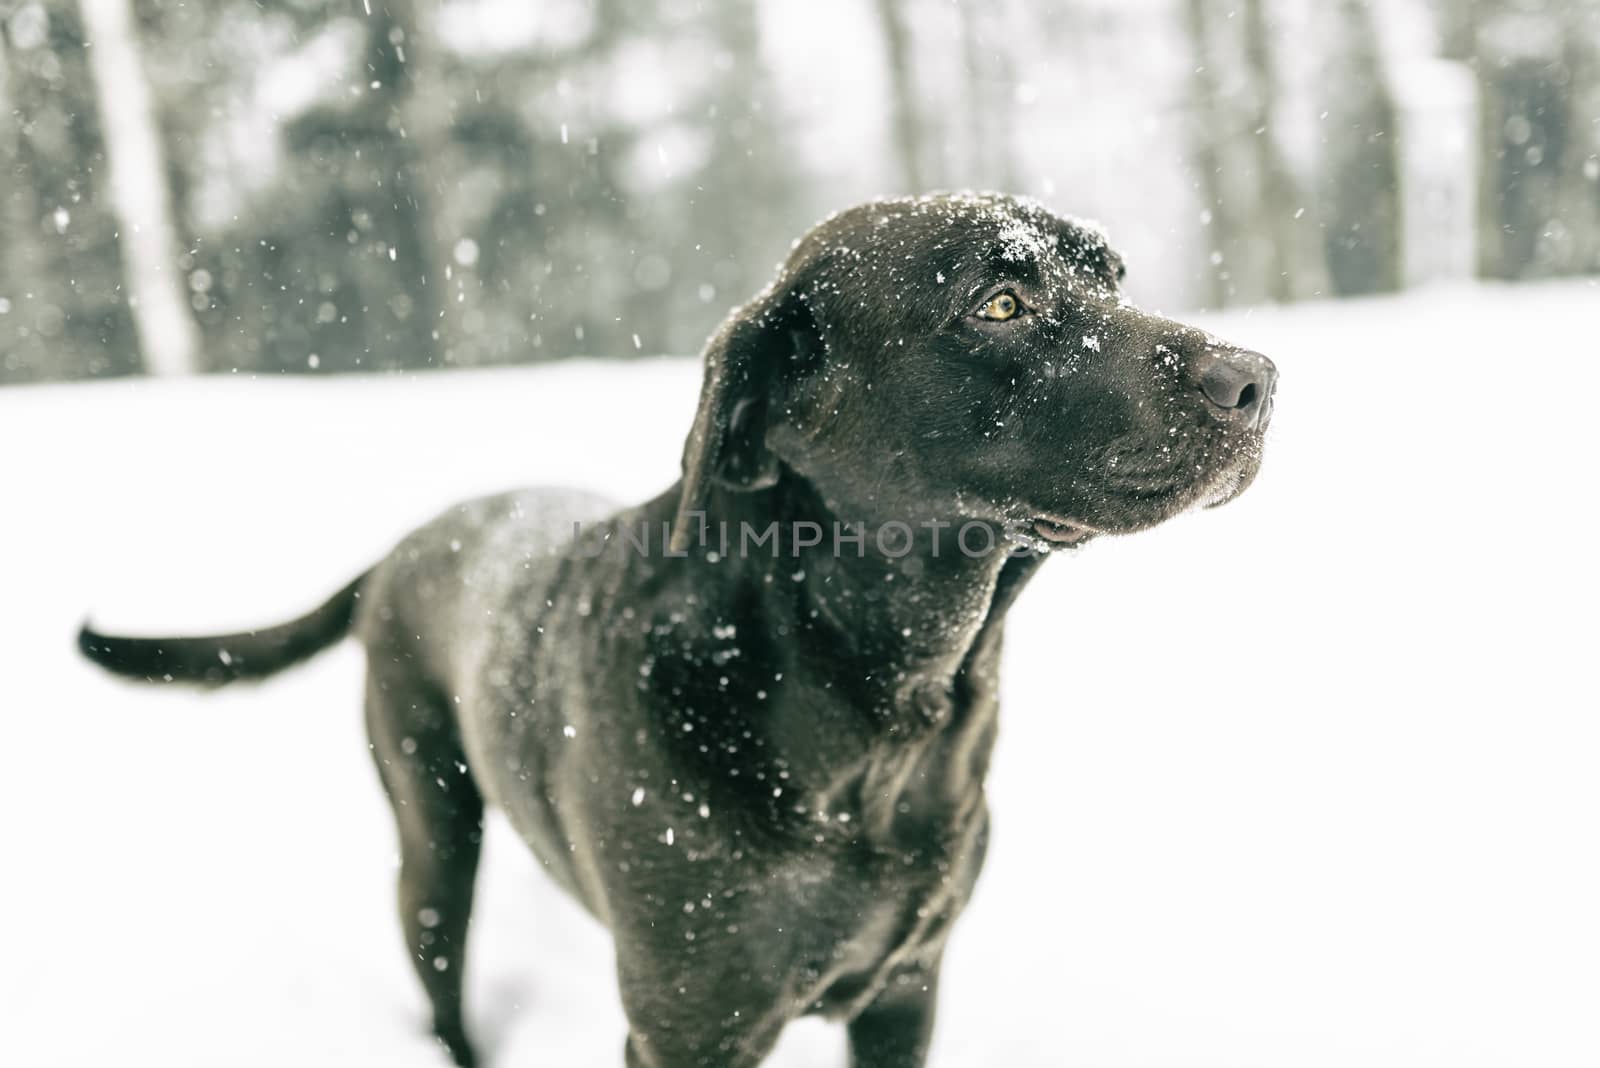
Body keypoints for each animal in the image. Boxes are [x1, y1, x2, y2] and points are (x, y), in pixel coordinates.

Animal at [81, 194, 1273, 1068]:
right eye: (999, 303)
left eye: (1111, 279)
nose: (1257, 378)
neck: (880, 709)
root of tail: (412, 540)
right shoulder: (687, 1032)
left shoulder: (906, 991)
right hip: (431, 839)